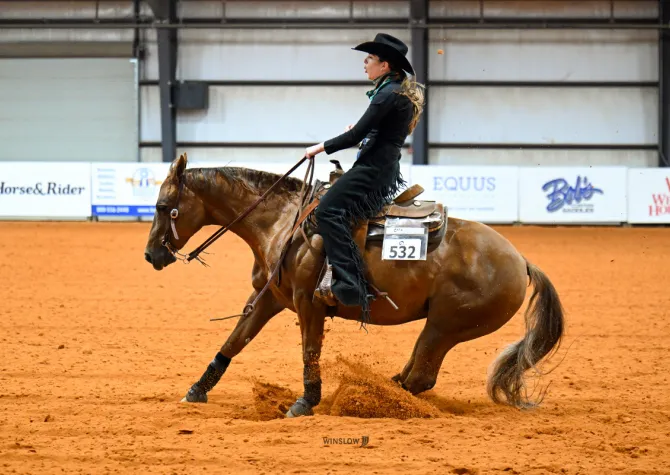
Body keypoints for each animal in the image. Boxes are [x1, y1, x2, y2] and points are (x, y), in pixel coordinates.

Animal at [143, 153, 565, 417]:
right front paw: (196, 390)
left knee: (420, 376)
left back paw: (369, 399)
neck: (282, 223)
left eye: (163, 207)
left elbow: (309, 352)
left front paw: (306, 402)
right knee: (414, 374)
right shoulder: (269, 299)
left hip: (447, 326)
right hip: (439, 328)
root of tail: (521, 261)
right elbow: (233, 341)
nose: (150, 255)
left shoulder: (308, 304)